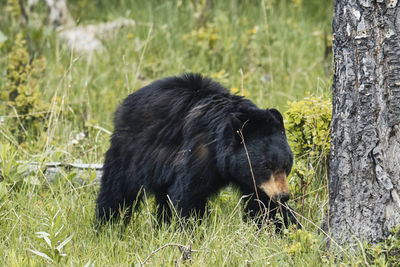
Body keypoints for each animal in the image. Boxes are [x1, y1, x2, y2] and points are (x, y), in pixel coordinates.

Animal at [95, 73, 298, 230]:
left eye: (286, 165)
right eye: (266, 165)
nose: (283, 196)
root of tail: (123, 105)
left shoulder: (254, 179)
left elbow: (263, 204)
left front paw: (283, 228)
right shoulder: (198, 152)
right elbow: (189, 195)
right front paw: (191, 230)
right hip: (131, 151)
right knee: (118, 190)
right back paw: (107, 226)